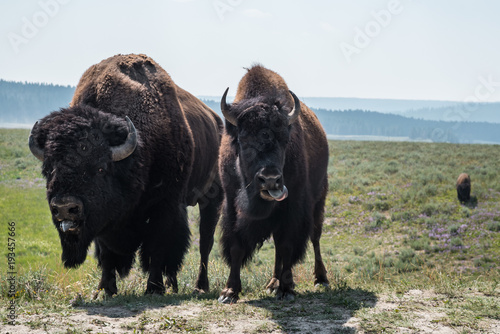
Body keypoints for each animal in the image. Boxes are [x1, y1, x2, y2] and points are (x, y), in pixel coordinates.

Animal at [28, 53, 222, 296]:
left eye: (101, 168)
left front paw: (153, 288)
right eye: (48, 169)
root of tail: (217, 121)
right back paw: (174, 285)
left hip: (212, 197)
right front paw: (106, 288)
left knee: (205, 241)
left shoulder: (164, 205)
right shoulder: (104, 219)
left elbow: (158, 247)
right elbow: (106, 252)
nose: (65, 206)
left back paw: (200, 286)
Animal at [218, 64, 328, 302]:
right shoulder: (231, 205)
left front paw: (286, 290)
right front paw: (229, 292)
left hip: (319, 200)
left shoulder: (292, 208)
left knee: (314, 237)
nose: (270, 179)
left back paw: (320, 279)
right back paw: (272, 283)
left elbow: (286, 245)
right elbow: (236, 246)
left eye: (285, 140)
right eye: (243, 140)